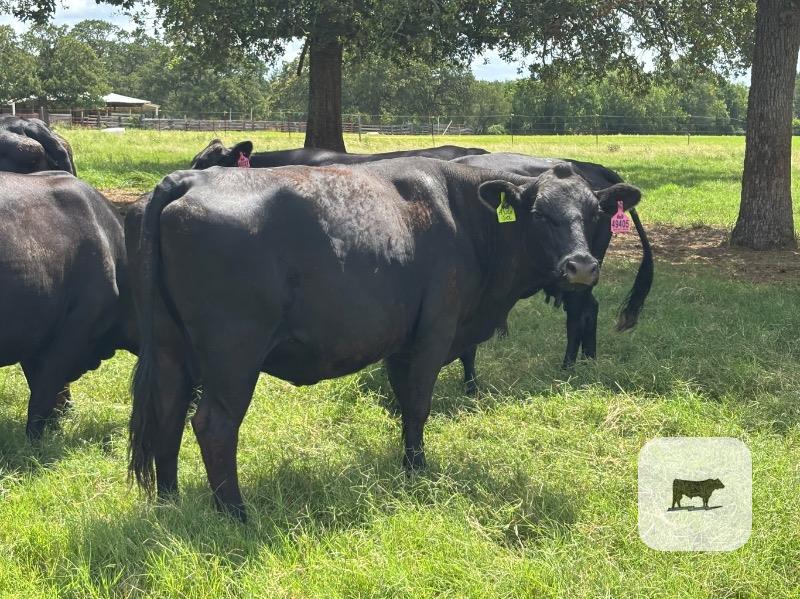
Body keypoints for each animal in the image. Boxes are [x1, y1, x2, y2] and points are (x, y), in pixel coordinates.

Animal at [452, 152, 653, 391]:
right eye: (538, 213)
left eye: (595, 213)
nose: (582, 264)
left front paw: (472, 389)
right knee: (590, 308)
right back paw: (589, 361)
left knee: (577, 316)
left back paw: (568, 369)